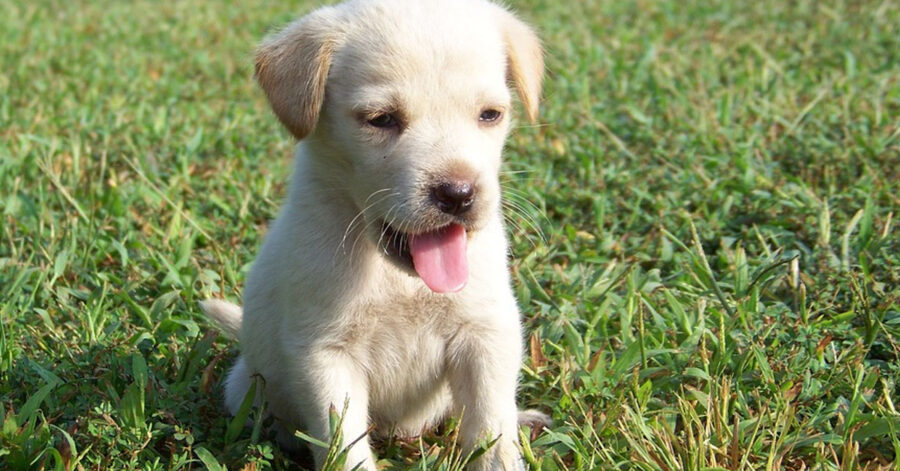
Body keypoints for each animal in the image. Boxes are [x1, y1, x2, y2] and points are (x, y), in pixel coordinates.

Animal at [200, 1, 544, 470]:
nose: (458, 194)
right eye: (381, 120)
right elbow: (343, 439)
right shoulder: (323, 354)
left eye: (490, 114)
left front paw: (503, 452)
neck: (400, 279)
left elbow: (491, 423)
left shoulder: (486, 332)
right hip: (246, 386)